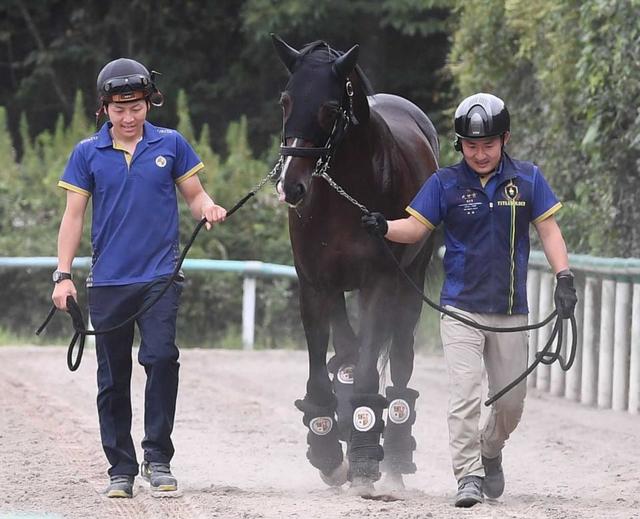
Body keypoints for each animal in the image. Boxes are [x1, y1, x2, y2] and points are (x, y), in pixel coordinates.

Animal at [271, 34, 439, 492]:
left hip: (409, 282)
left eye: (330, 108)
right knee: (348, 349)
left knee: (398, 358)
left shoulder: (380, 283)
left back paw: (396, 452)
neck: (340, 196)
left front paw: (364, 455)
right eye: (285, 101)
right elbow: (324, 363)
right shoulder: (316, 285)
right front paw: (328, 447)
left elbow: (368, 367)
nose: (291, 186)